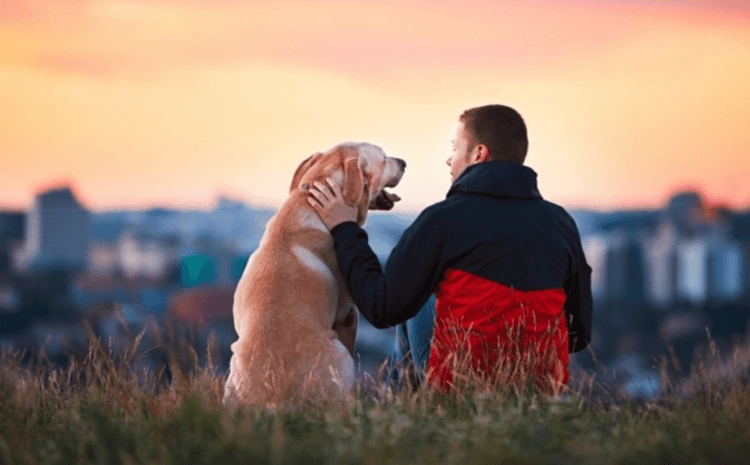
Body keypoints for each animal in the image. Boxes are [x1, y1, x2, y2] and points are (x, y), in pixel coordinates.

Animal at [225, 141, 406, 406]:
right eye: (383, 159)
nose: (404, 163)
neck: (308, 203)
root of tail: (272, 399)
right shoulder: (348, 314)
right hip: (339, 354)